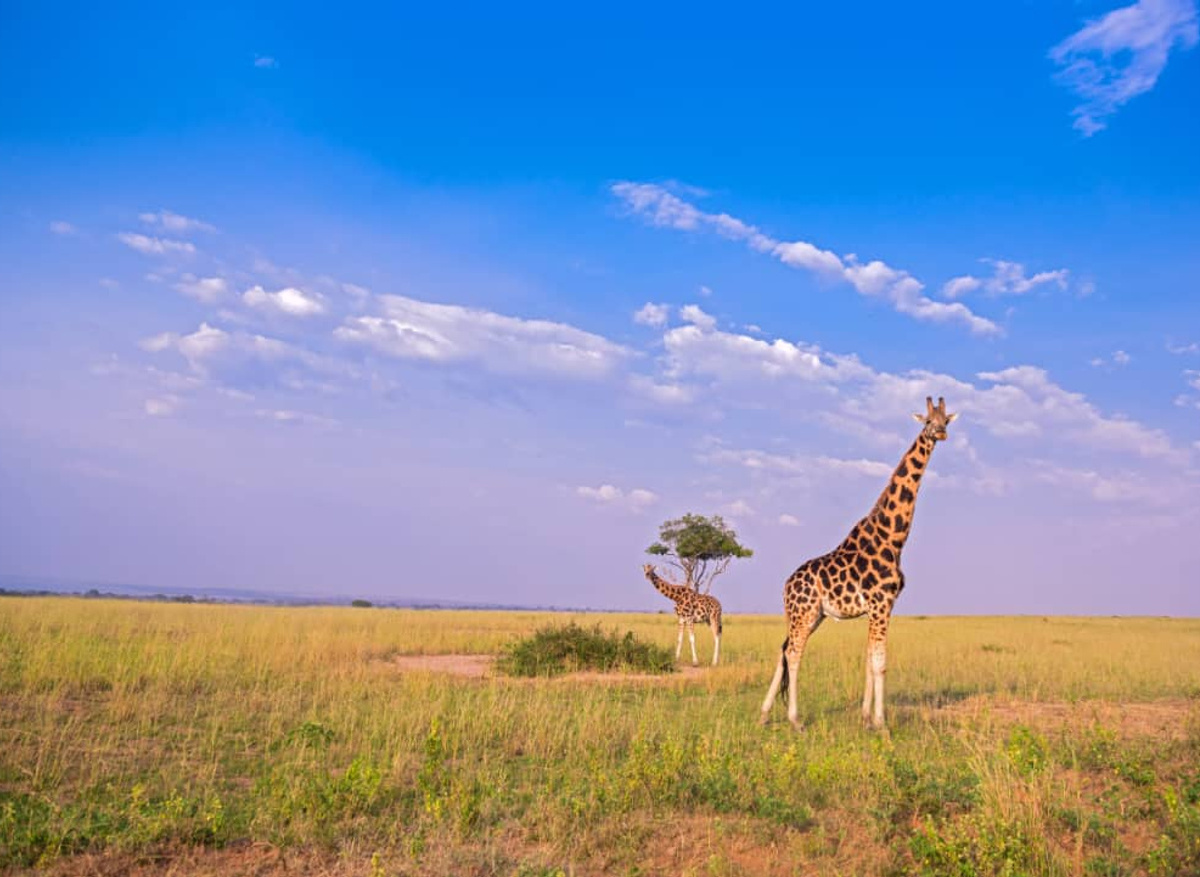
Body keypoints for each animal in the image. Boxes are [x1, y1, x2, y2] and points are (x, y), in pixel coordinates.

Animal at [759, 396, 958, 731]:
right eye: (928, 421)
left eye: (946, 420)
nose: (941, 433)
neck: (893, 538)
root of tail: (786, 585)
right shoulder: (881, 603)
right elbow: (880, 662)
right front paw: (882, 724)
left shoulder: (881, 607)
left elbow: (868, 659)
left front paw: (866, 719)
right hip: (804, 611)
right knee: (795, 652)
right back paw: (795, 720)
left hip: (812, 615)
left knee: (784, 649)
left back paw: (763, 715)